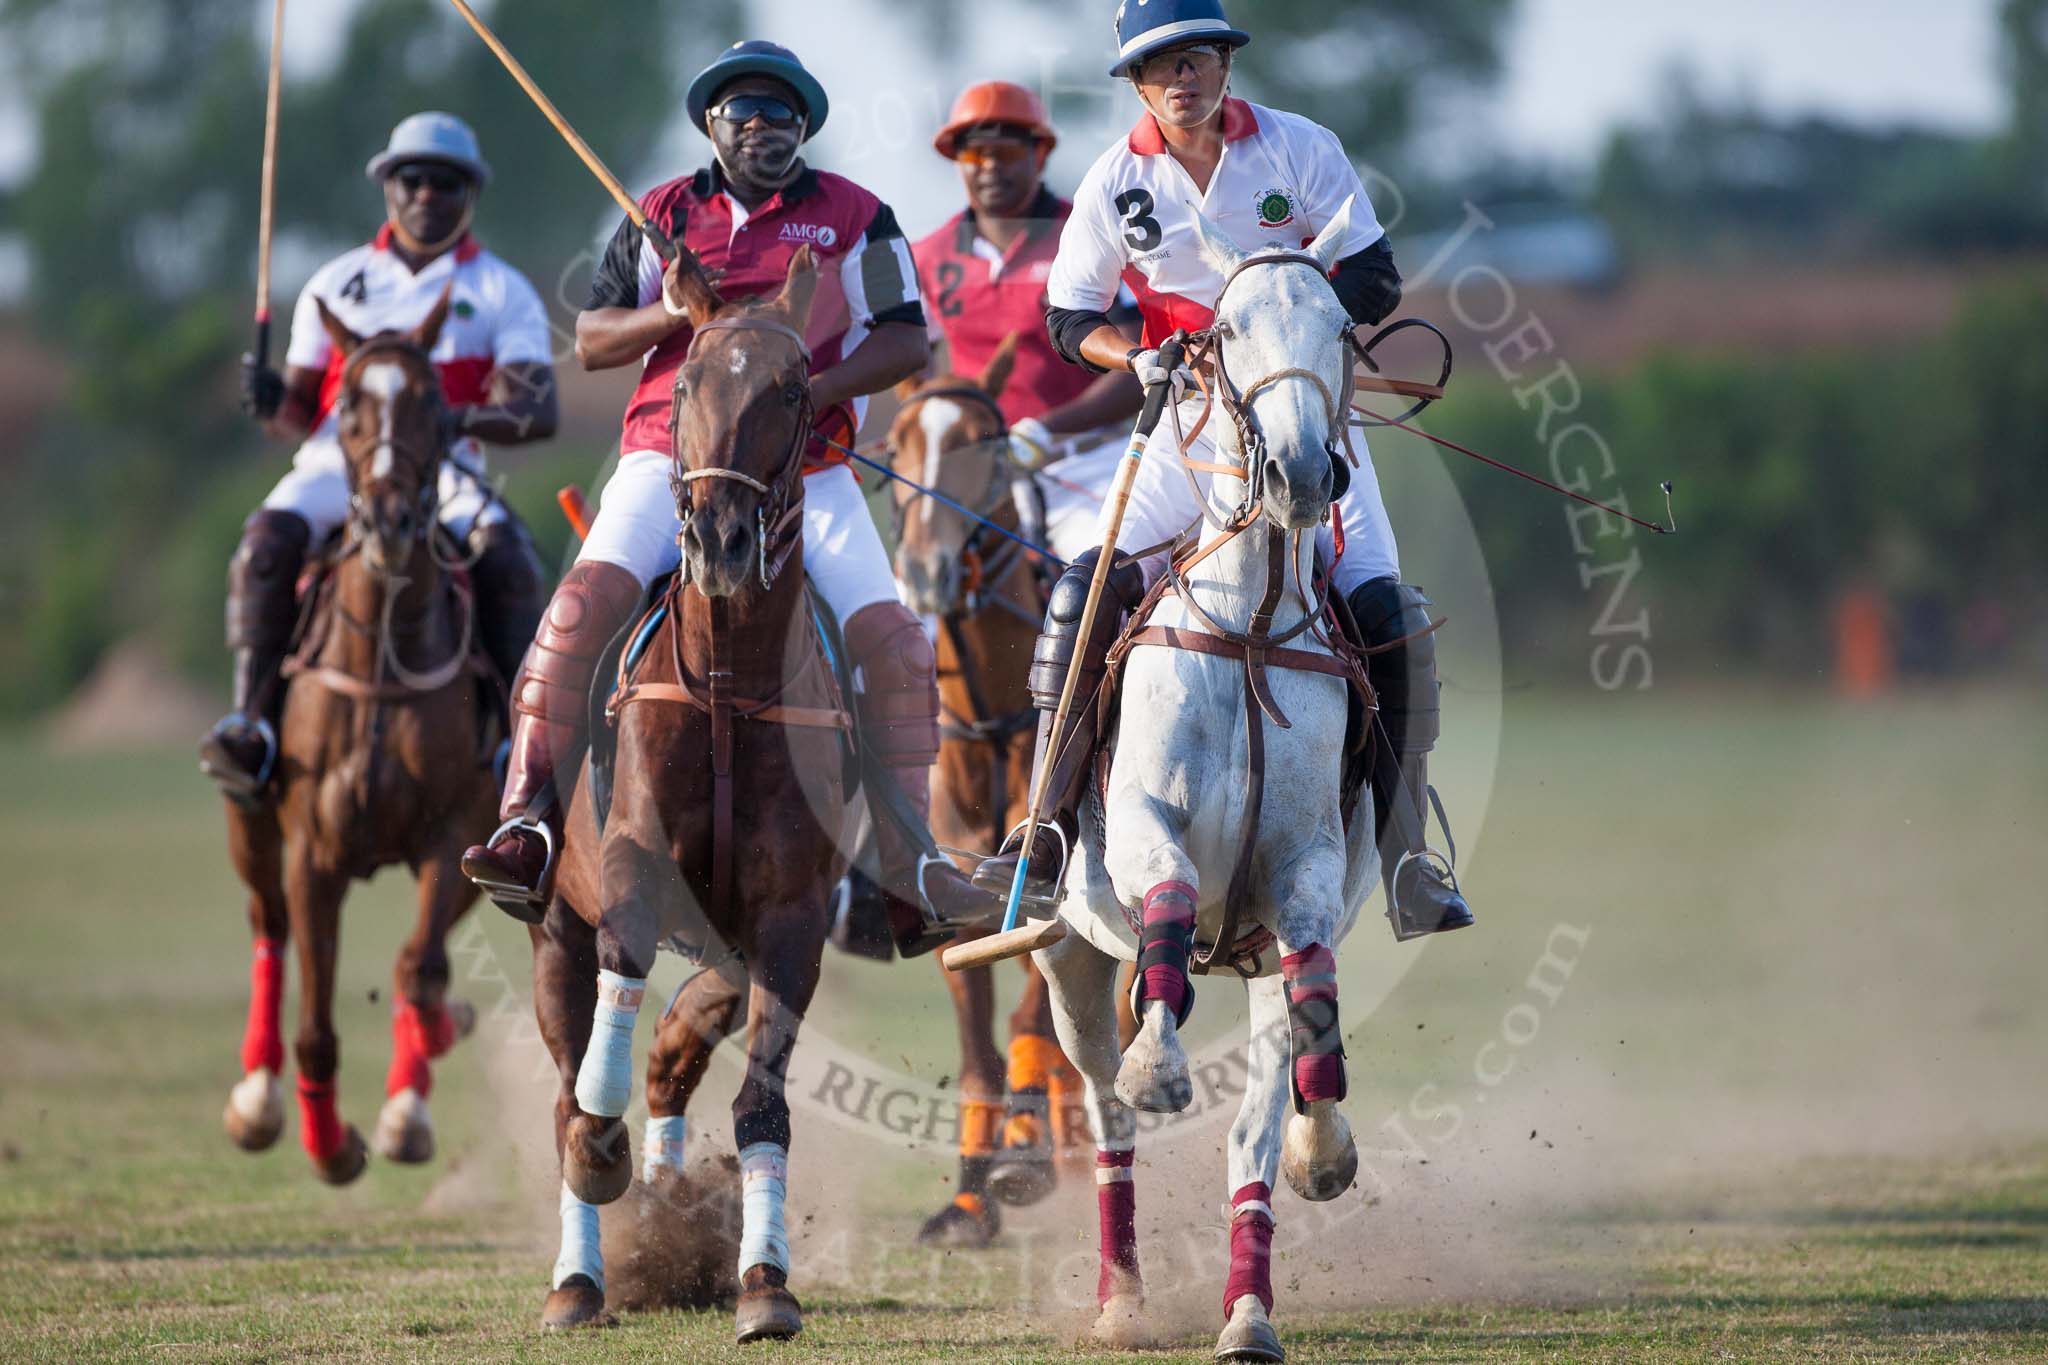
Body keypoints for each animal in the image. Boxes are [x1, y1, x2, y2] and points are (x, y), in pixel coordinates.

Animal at [218, 294, 489, 1186]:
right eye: (349, 409)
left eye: (436, 405)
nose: (391, 519)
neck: (381, 658)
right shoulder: (313, 850)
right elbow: (315, 1022)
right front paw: (330, 1143)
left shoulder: (454, 835)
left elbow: (421, 965)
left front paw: (408, 1104)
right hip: (250, 820)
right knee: (267, 922)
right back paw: (258, 1101)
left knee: (422, 969)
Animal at [528, 248, 856, 1342]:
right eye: (682, 387)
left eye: (793, 389)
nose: (718, 540)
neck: (724, 682)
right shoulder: (629, 873)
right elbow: (598, 1083)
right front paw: (604, 1157)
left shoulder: (790, 917)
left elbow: (760, 1102)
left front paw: (764, 1284)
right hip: (555, 923)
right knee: (570, 1085)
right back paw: (579, 1277)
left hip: (725, 945)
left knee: (676, 1053)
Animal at [1032, 202, 1384, 1365]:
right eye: (1224, 331)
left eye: (1339, 326)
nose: (1302, 476)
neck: (1252, 621)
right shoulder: (1146, 831)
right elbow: (1173, 906)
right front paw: (1161, 1062)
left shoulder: (1303, 877)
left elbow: (1311, 1010)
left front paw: (1325, 1146)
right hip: (1063, 953)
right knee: (1105, 1111)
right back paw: (1121, 1295)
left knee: (1248, 1127)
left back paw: (1243, 1306)